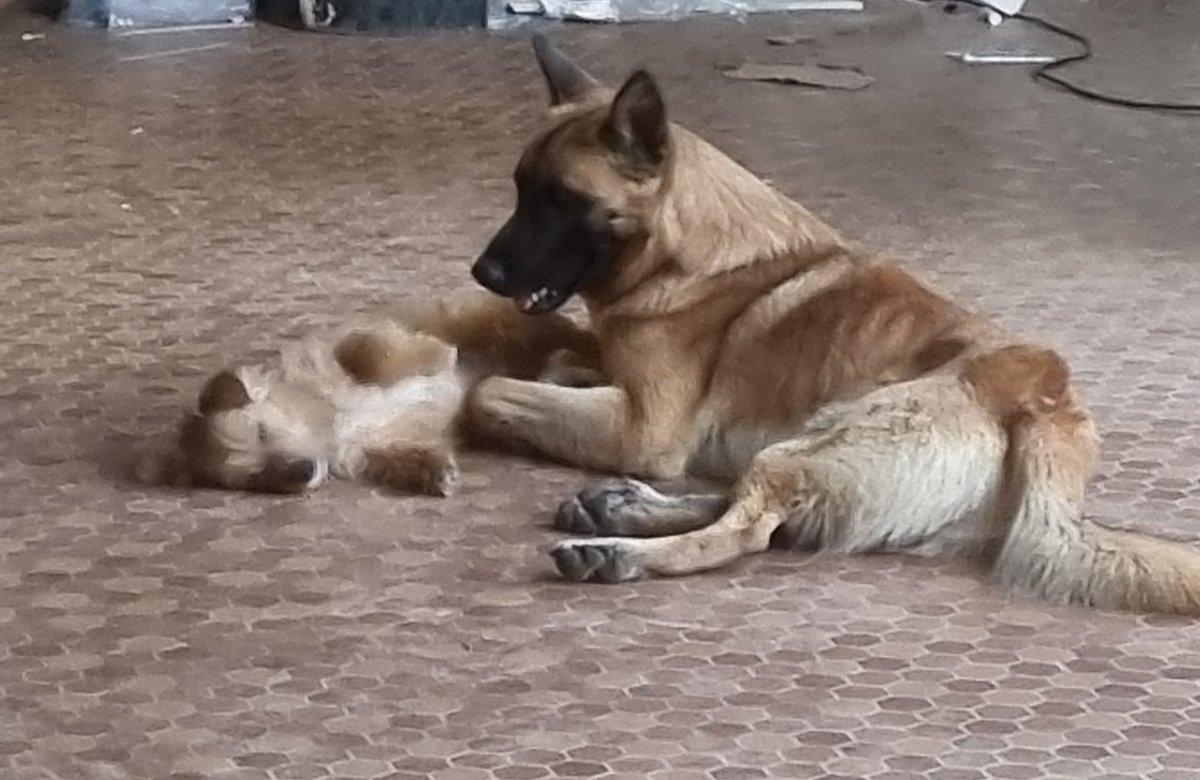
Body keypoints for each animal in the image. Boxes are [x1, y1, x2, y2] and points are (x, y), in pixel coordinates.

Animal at [463, 34, 1200, 614]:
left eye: (560, 199)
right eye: (521, 188)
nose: (483, 273)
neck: (686, 249)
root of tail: (1040, 394)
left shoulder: (642, 429)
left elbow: (488, 392)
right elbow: (560, 358)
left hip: (815, 444)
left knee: (749, 529)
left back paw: (618, 551)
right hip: (810, 447)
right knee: (763, 509)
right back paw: (623, 509)